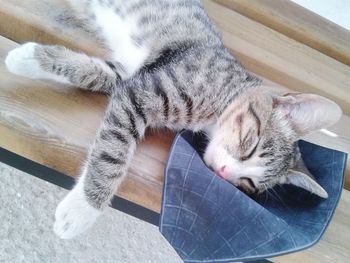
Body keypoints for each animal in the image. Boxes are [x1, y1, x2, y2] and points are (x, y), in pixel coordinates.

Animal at [4, 0, 342, 240]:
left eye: (247, 183)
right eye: (251, 145)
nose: (223, 172)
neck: (227, 92)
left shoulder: (134, 76)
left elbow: (94, 72)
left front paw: (26, 59)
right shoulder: (144, 91)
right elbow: (113, 153)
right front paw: (82, 210)